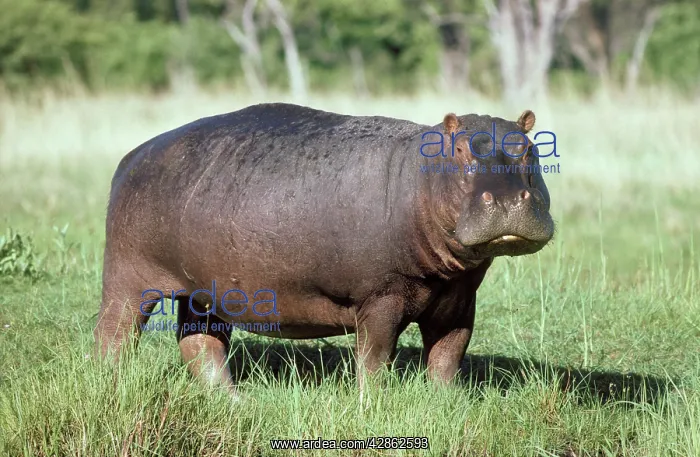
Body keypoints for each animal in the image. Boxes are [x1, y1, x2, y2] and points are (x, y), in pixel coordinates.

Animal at [94, 103, 554, 393]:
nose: (509, 199)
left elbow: (447, 356)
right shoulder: (380, 297)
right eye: (459, 150)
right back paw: (110, 387)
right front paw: (373, 405)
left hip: (203, 291)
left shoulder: (459, 299)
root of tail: (133, 155)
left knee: (201, 344)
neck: (419, 179)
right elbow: (374, 359)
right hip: (128, 277)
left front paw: (445, 405)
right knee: (114, 335)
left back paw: (235, 401)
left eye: (529, 148)